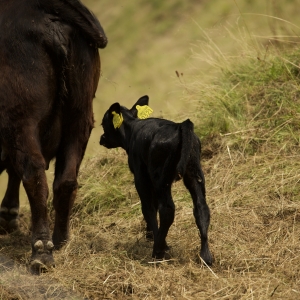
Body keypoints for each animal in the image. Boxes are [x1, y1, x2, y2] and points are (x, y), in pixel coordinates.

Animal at [0, 0, 107, 272]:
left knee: (33, 172)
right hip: (80, 116)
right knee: (65, 180)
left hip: (20, 119)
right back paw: (60, 239)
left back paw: (42, 252)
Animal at [99, 94, 212, 264]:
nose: (102, 138)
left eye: (103, 124)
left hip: (160, 177)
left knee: (167, 209)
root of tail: (180, 126)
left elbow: (148, 207)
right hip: (193, 172)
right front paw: (151, 235)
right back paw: (206, 256)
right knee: (201, 207)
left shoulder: (141, 176)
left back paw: (158, 250)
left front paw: (157, 240)